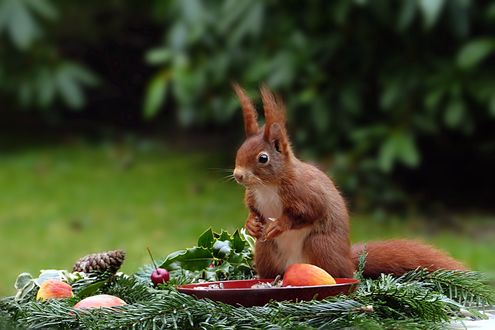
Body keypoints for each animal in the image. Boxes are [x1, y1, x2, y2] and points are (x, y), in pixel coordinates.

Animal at [232, 85, 464, 278]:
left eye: (263, 158)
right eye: (240, 150)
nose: (238, 175)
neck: (267, 186)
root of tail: (349, 261)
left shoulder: (304, 191)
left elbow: (310, 211)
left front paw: (279, 224)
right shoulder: (253, 196)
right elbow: (254, 210)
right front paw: (251, 223)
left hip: (320, 245)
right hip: (266, 250)